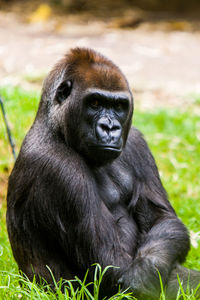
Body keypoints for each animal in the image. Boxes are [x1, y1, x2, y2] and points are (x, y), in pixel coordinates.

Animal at [6, 48, 200, 298]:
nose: (110, 128)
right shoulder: (59, 168)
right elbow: (111, 265)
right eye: (95, 103)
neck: (55, 128)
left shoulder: (136, 141)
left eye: (119, 107)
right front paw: (143, 276)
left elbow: (163, 219)